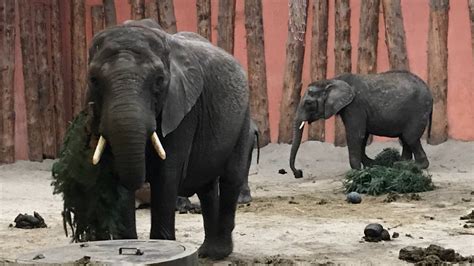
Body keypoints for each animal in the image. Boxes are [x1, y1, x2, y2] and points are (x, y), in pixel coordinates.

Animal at [87, 19, 254, 260]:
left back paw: (217, 254)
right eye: (93, 80)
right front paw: (126, 248)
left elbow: (166, 176)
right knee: (207, 187)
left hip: (243, 118)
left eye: (159, 81)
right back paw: (206, 252)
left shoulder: (182, 111)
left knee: (231, 178)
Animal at [288, 70, 434, 179]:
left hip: (418, 110)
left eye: (308, 103)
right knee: (405, 138)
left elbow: (355, 135)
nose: (299, 173)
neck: (332, 80)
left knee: (410, 137)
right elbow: (362, 136)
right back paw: (401, 165)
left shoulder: (354, 106)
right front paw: (370, 166)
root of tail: (430, 92)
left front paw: (356, 172)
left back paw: (415, 166)